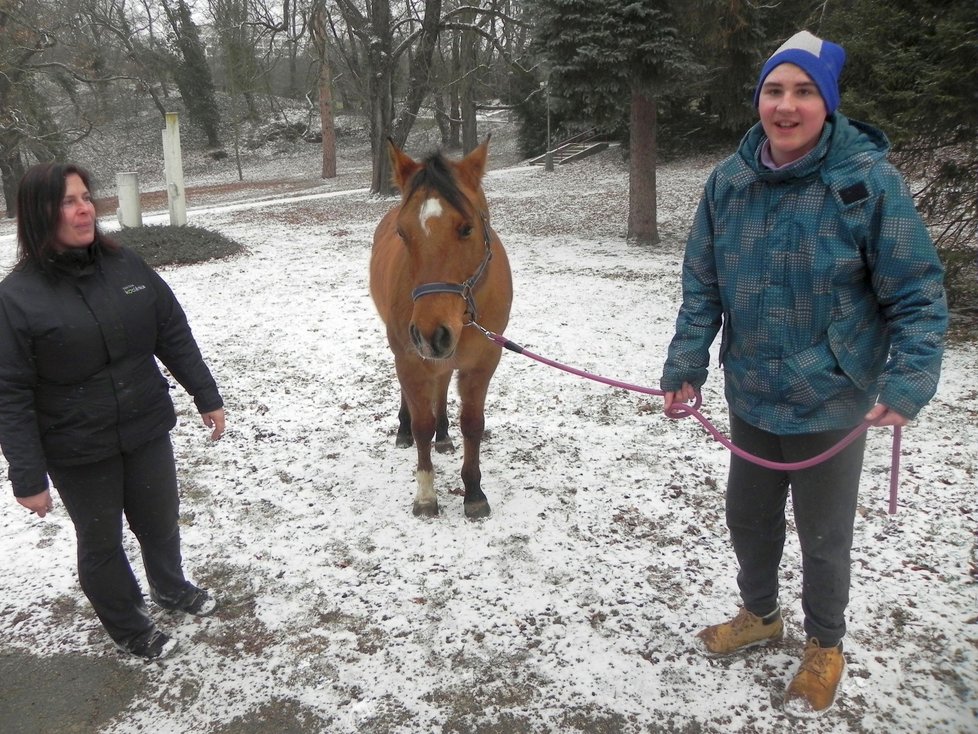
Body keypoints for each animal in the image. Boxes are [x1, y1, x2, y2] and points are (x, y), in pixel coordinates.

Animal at [370, 137, 516, 516]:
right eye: (403, 233)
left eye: (466, 228)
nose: (430, 334)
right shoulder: (411, 359)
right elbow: (421, 423)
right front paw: (425, 494)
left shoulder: (483, 364)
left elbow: (473, 425)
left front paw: (474, 492)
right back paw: (405, 429)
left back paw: (444, 434)